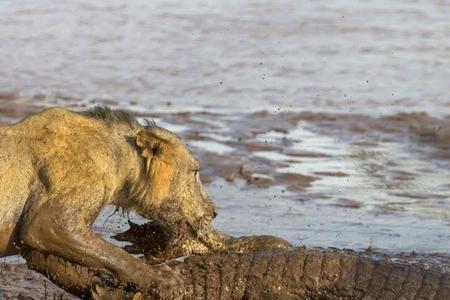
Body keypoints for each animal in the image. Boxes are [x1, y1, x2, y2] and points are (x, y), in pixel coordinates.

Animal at [0, 105, 218, 298]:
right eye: (195, 171)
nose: (214, 212)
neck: (118, 164)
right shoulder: (46, 223)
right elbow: (116, 254)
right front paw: (164, 280)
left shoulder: (28, 243)